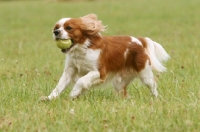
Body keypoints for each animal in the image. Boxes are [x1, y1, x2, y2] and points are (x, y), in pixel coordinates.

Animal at [39, 13, 170, 100]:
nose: (56, 32)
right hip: (119, 83)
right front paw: (49, 98)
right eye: (56, 27)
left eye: (69, 28)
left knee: (153, 86)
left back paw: (157, 99)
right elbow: (59, 86)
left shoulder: (99, 72)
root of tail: (138, 40)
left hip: (145, 74)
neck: (82, 48)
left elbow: (81, 81)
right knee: (124, 94)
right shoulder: (70, 71)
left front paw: (74, 93)